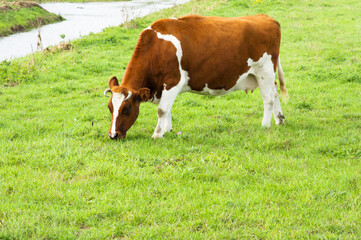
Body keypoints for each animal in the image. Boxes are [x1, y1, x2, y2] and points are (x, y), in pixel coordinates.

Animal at [103, 14, 286, 139]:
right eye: (110, 108)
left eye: (126, 109)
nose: (113, 135)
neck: (156, 48)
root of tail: (267, 18)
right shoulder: (165, 87)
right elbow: (168, 109)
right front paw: (168, 130)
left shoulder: (173, 82)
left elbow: (162, 110)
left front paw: (157, 134)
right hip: (265, 74)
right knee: (275, 91)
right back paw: (279, 120)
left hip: (264, 71)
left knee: (268, 99)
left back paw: (265, 125)